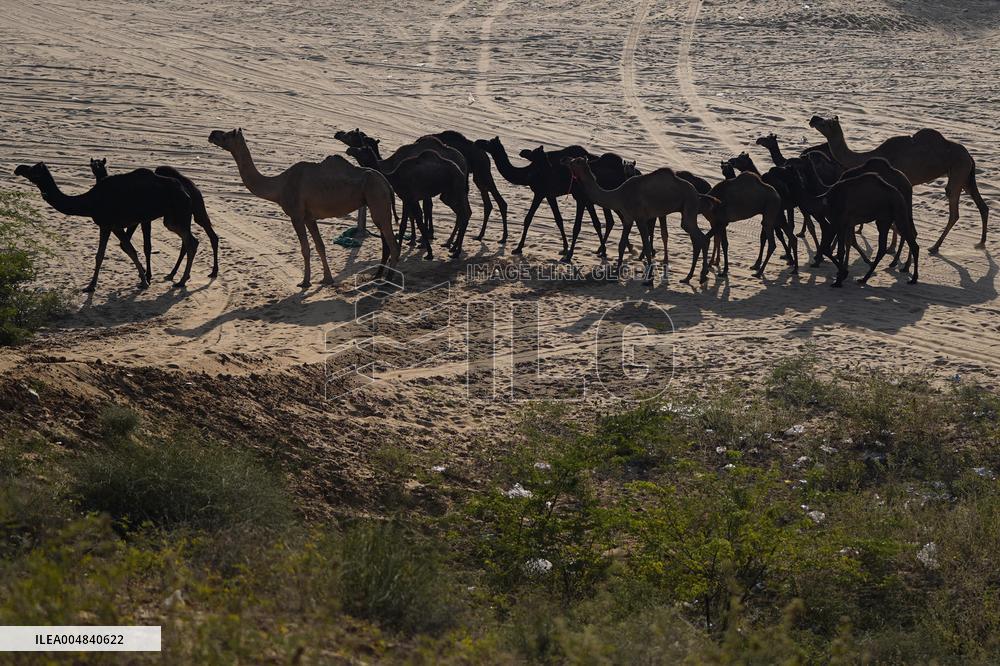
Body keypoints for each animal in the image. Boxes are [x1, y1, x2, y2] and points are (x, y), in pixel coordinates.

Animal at [15, 162, 195, 292]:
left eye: (33, 170)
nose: (19, 169)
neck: (90, 201)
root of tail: (186, 191)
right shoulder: (114, 226)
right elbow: (124, 250)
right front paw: (143, 279)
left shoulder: (107, 224)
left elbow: (105, 254)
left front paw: (91, 286)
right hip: (171, 218)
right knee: (190, 240)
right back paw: (181, 278)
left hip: (178, 213)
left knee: (191, 242)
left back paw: (181, 281)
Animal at [90, 158, 220, 280]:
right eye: (91, 164)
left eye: (100, 164)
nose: (96, 168)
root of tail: (193, 188)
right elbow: (125, 245)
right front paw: (144, 272)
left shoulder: (142, 220)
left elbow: (146, 247)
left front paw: (147, 274)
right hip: (186, 215)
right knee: (191, 240)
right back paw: (176, 274)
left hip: (192, 211)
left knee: (207, 236)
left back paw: (209, 272)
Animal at [209, 128, 398, 286]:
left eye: (226, 135)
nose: (212, 134)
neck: (279, 186)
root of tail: (386, 183)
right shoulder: (309, 217)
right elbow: (320, 246)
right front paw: (327, 279)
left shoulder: (297, 216)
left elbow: (305, 249)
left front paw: (305, 282)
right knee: (388, 240)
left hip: (377, 199)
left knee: (392, 242)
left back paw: (389, 280)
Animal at [562, 156, 711, 285]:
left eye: (576, 161)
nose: (566, 160)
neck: (618, 195)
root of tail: (697, 193)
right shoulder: (628, 218)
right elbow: (621, 244)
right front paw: (615, 273)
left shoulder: (640, 218)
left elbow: (646, 245)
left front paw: (649, 278)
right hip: (687, 210)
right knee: (699, 239)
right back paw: (693, 277)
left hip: (689, 206)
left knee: (700, 237)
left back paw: (698, 276)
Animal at [809, 115, 988, 253]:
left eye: (826, 123)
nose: (814, 119)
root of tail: (969, 155)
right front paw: (893, 246)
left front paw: (891, 247)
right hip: (966, 176)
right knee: (981, 205)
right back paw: (980, 243)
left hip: (959, 170)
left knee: (954, 209)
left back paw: (934, 247)